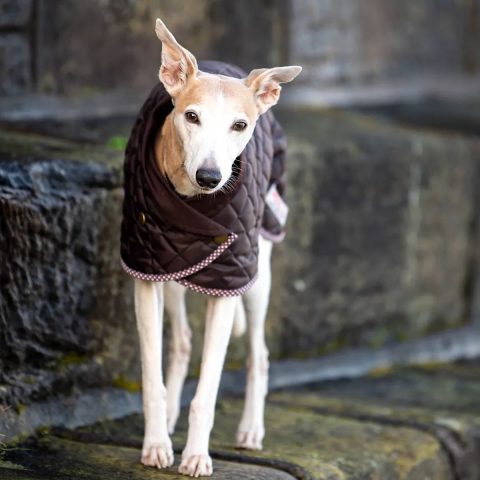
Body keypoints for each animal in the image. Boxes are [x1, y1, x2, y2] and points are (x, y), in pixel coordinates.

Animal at [120, 17, 300, 476]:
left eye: (240, 125)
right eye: (191, 116)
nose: (210, 176)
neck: (192, 201)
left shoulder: (230, 280)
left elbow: (209, 389)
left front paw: (197, 455)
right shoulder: (145, 271)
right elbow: (152, 376)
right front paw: (156, 445)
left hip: (258, 276)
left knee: (258, 353)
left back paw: (251, 429)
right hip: (172, 273)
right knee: (183, 340)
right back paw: (169, 420)